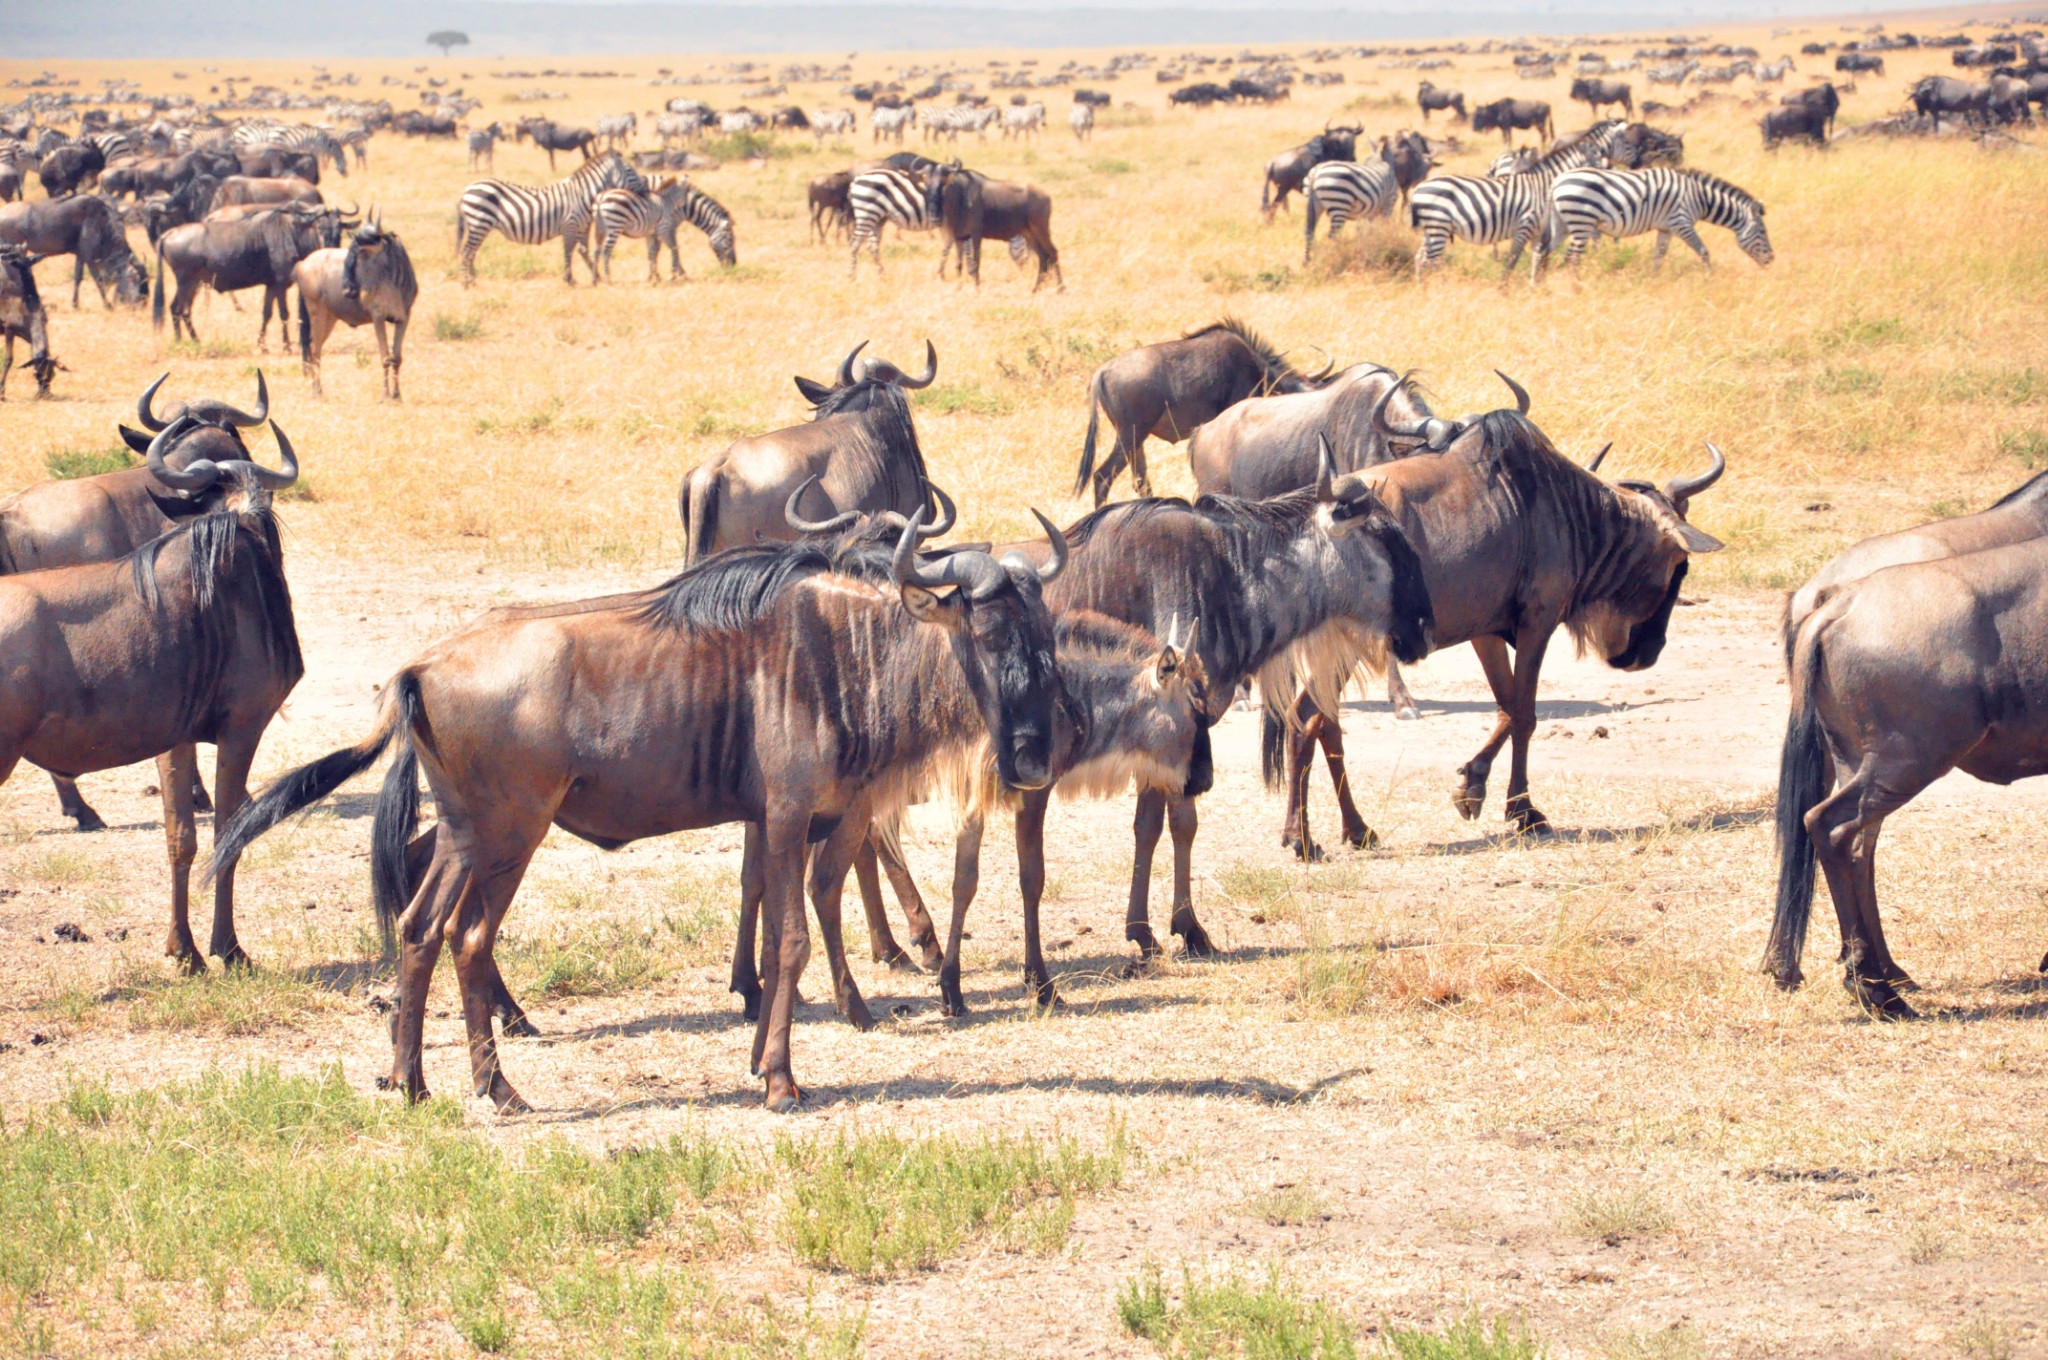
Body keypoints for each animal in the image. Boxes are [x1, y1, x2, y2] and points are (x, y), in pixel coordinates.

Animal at [456, 151, 647, 284]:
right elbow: (568, 252)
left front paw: (596, 276)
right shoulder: (570, 225)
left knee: (472, 252)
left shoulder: (581, 227)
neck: (583, 195)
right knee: (467, 252)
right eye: (630, 170)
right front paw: (570, 279)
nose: (646, 190)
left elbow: (583, 251)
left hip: (480, 226)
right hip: (479, 223)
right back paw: (467, 282)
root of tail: (466, 189)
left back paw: (472, 280)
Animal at [593, 175, 737, 280]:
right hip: (614, 226)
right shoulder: (667, 228)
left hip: (601, 227)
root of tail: (602, 196)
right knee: (606, 251)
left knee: (597, 250)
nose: (733, 265)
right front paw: (677, 274)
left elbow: (653, 252)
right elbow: (674, 248)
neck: (683, 208)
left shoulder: (653, 231)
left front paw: (654, 276)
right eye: (730, 240)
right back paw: (607, 278)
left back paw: (596, 279)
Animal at [1409, 134, 1613, 280]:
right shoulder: (1524, 226)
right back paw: (1440, 287)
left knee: (1420, 259)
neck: (1545, 187)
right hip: (1438, 225)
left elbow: (1540, 259)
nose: (1610, 171)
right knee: (1434, 260)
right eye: (1597, 159)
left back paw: (1424, 291)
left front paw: (1537, 288)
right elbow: (1512, 260)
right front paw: (1504, 290)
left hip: (1432, 228)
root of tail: (1418, 188)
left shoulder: (1538, 232)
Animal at [1540, 164, 1769, 270]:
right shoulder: (1681, 222)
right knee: (1571, 257)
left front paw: (1653, 279)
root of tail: (1557, 181)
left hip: (1562, 223)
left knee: (1542, 251)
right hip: (1581, 220)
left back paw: (1539, 283)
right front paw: (1710, 277)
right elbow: (1703, 251)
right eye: (1762, 232)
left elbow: (1658, 256)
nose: (1772, 258)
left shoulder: (1665, 227)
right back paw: (1575, 287)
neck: (1699, 197)